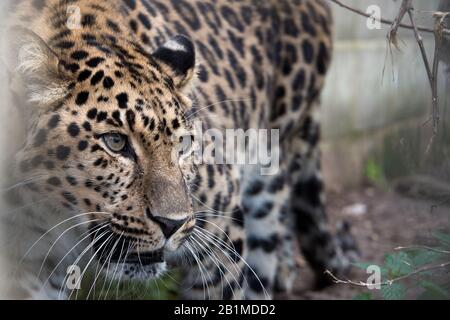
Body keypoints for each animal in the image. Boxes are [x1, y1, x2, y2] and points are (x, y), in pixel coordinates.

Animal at [0, 0, 358, 300]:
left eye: (183, 144)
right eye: (115, 142)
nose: (172, 224)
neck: (54, 210)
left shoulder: (222, 232)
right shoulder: (25, 264)